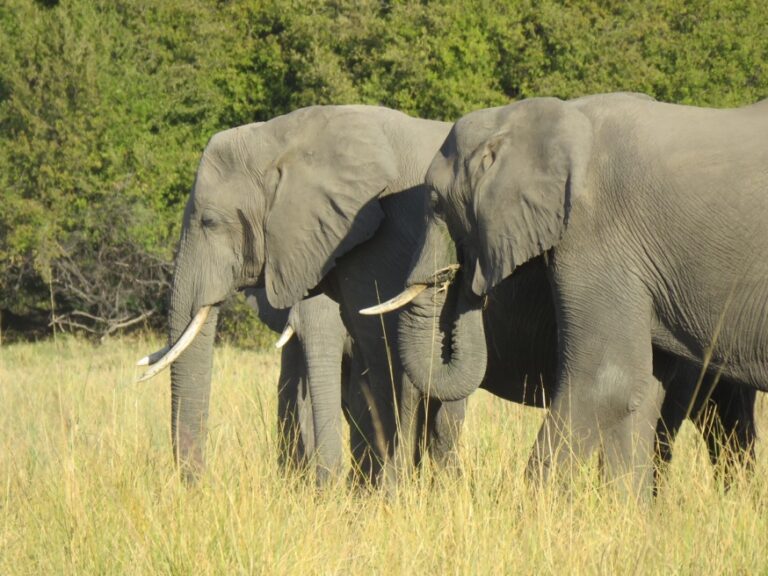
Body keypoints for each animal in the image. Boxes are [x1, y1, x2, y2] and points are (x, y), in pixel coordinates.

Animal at [136, 105, 466, 485]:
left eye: (209, 222)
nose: (200, 485)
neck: (283, 137)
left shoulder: (378, 239)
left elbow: (379, 352)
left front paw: (376, 491)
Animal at [374, 93, 766, 495]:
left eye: (436, 202)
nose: (460, 273)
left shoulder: (596, 235)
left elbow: (608, 383)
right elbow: (640, 391)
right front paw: (625, 510)